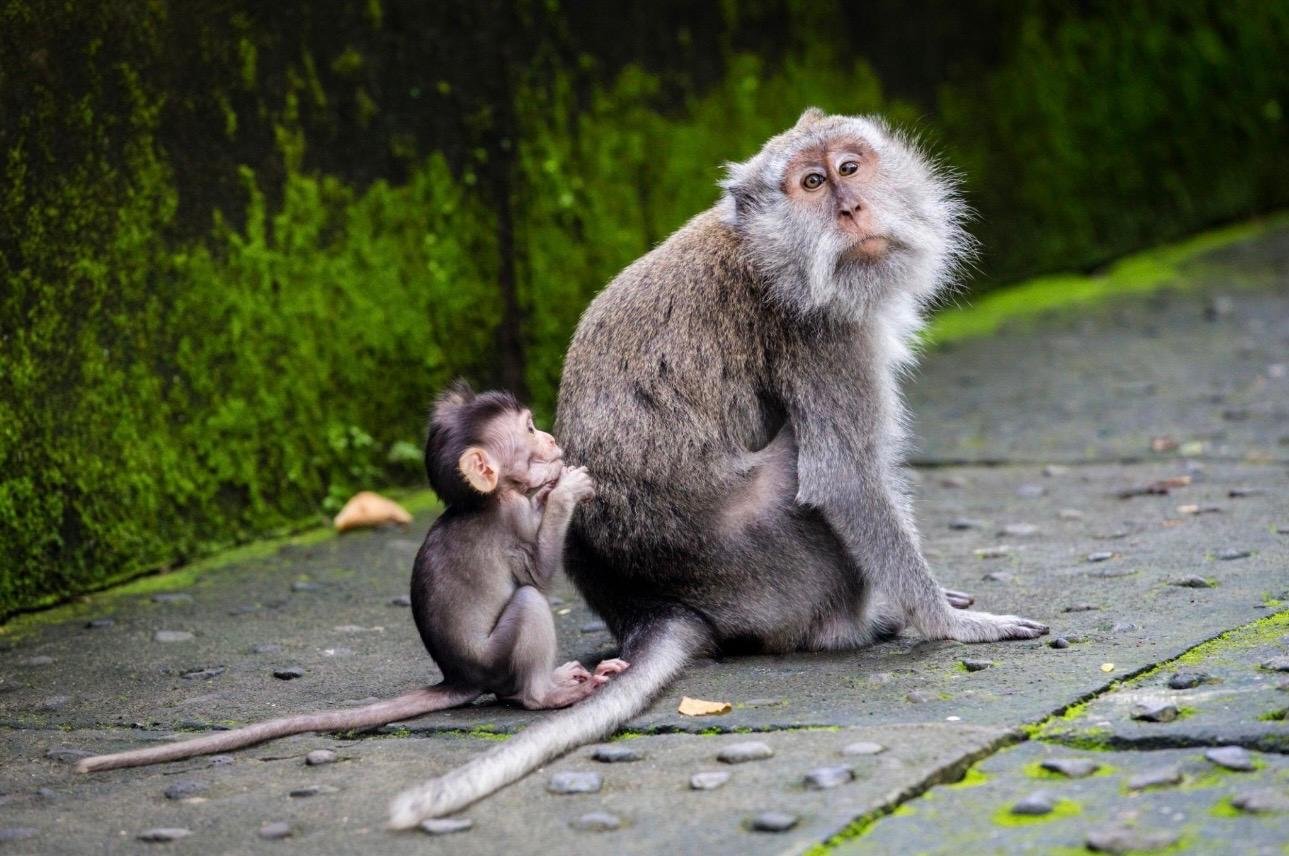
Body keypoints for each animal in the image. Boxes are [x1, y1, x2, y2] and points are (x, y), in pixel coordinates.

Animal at [76, 383, 626, 774]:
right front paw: (565, 488)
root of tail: (459, 676)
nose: (551, 439)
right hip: (494, 655)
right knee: (528, 604)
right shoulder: (510, 518)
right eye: (530, 430)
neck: (488, 499)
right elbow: (538, 570)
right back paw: (546, 694)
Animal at [387, 108, 1048, 827]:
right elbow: (844, 478)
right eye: (812, 183)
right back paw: (860, 622)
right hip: (770, 571)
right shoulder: (818, 336)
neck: (766, 252)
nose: (850, 207)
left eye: (848, 167)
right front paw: (947, 625)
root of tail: (653, 606)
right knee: (796, 465)